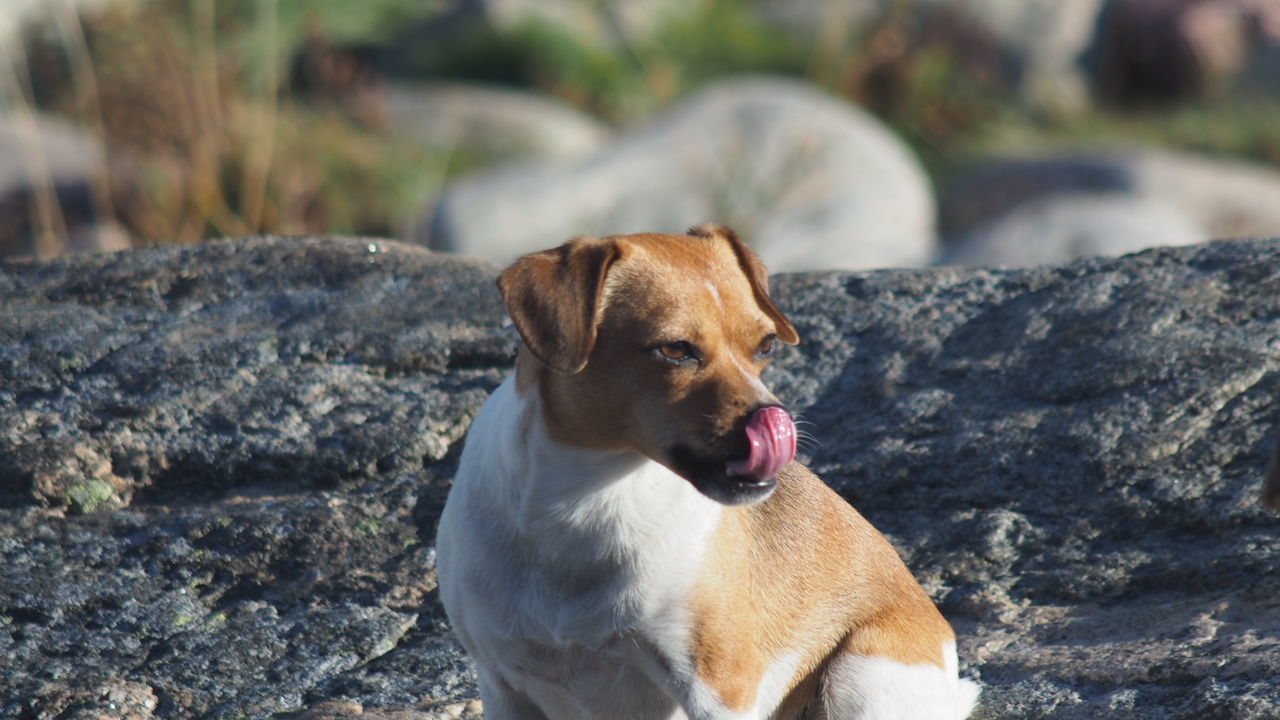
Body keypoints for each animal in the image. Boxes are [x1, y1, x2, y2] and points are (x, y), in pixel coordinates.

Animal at [435, 225, 972, 717]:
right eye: (675, 350)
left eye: (766, 346)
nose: (775, 420)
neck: (584, 503)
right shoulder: (503, 684)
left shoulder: (718, 689)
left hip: (860, 675)